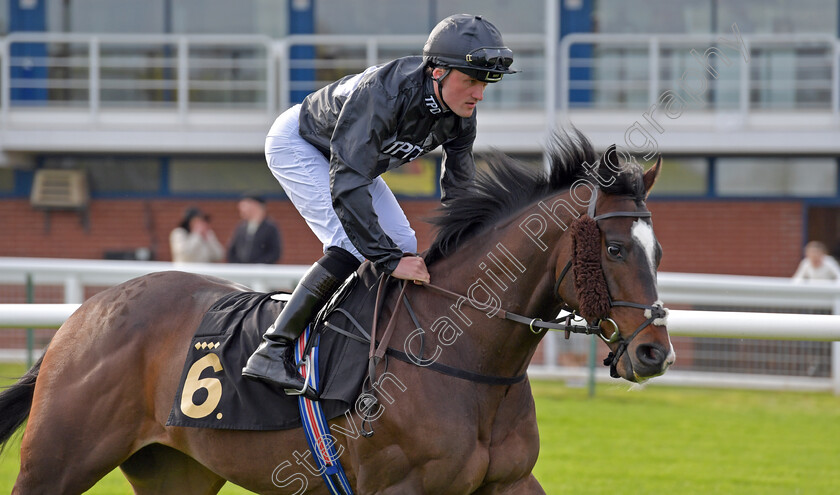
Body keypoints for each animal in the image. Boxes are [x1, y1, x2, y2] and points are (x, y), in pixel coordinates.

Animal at [0, 130, 668, 494]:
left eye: (658, 250)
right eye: (613, 248)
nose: (654, 352)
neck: (464, 360)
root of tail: (83, 314)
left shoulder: (507, 481)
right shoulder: (396, 488)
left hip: (174, 469)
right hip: (57, 462)